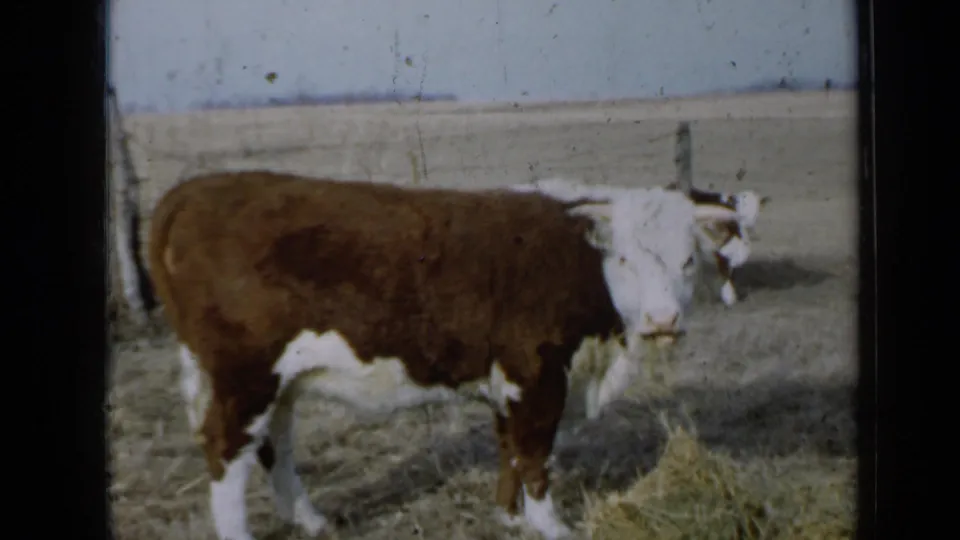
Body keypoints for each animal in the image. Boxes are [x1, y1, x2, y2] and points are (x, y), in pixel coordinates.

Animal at [124, 170, 741, 540]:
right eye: (628, 261)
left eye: (688, 260)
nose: (663, 321)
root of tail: (194, 190)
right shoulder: (537, 372)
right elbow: (535, 453)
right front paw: (549, 524)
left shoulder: (507, 378)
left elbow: (508, 448)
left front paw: (507, 514)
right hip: (244, 374)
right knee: (227, 451)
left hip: (277, 380)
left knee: (274, 445)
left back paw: (312, 520)